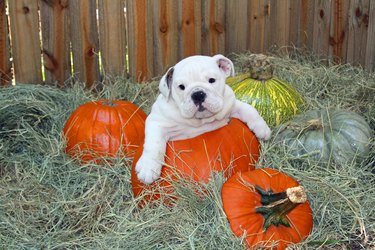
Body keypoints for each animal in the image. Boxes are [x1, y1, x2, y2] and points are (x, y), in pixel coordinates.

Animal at [137, 54, 272, 184]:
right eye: (181, 87)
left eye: (212, 80)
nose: (197, 94)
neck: (201, 121)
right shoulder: (157, 122)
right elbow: (154, 144)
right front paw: (148, 168)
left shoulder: (231, 105)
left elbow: (249, 109)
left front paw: (262, 128)